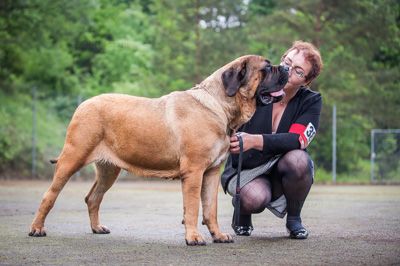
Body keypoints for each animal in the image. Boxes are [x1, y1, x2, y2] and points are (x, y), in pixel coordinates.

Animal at [29, 55, 290, 246]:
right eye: (267, 68)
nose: (286, 68)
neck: (220, 105)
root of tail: (83, 104)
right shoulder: (194, 172)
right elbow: (193, 207)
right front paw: (193, 238)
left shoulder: (212, 172)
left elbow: (210, 208)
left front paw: (218, 235)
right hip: (72, 158)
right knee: (49, 196)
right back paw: (37, 229)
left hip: (109, 170)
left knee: (93, 197)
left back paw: (96, 228)